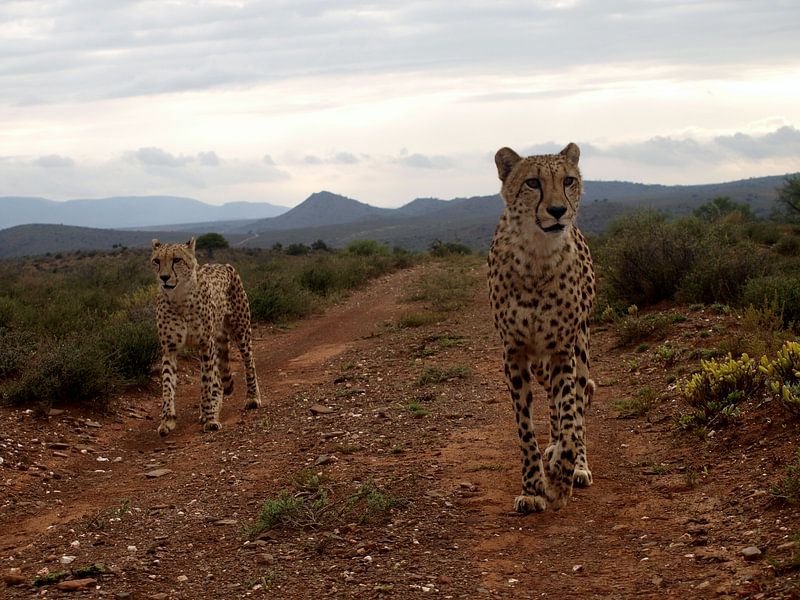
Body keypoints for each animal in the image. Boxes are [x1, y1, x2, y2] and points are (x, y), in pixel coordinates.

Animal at [151, 239, 262, 436]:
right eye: (157, 261)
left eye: (176, 260)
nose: (163, 277)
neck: (179, 297)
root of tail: (223, 264)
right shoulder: (170, 348)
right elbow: (167, 385)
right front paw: (167, 420)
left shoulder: (205, 343)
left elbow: (206, 381)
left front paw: (210, 419)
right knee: (218, 377)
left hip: (241, 330)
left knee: (249, 362)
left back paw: (252, 398)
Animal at [488, 143, 592, 512]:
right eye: (532, 183)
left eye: (568, 180)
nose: (558, 210)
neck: (538, 256)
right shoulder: (515, 352)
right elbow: (525, 427)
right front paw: (533, 487)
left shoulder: (563, 350)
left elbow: (569, 413)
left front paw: (561, 475)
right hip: (539, 359)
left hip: (580, 347)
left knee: (578, 404)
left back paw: (578, 465)